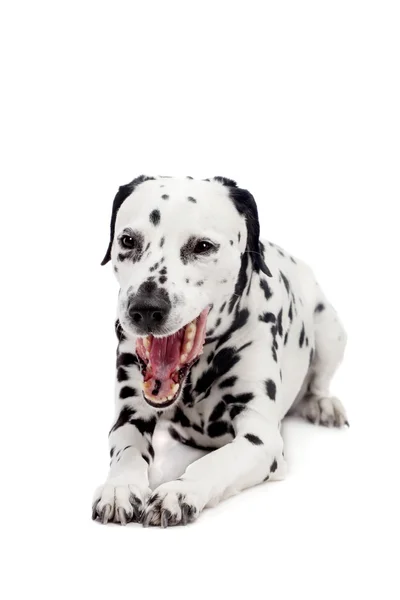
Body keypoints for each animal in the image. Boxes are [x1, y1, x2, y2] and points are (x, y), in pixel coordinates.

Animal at [91, 176, 346, 528]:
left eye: (202, 246)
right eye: (128, 240)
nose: (145, 308)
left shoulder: (260, 439)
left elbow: (213, 463)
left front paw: (179, 492)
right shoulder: (130, 414)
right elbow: (127, 448)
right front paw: (121, 486)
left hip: (330, 329)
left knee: (319, 381)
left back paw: (322, 404)